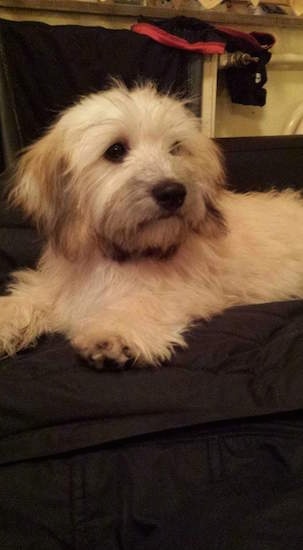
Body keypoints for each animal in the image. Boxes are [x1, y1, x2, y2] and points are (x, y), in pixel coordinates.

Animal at [0, 84, 303, 368]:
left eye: (175, 148)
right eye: (115, 150)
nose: (173, 192)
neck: (122, 252)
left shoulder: (185, 291)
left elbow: (143, 301)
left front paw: (113, 331)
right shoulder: (57, 287)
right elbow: (32, 296)